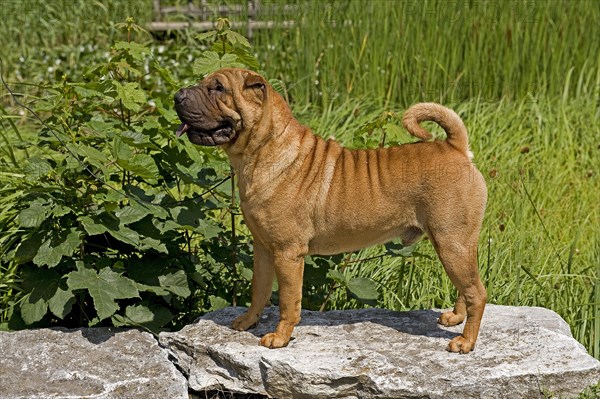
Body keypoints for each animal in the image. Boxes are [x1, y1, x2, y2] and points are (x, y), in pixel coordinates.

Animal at [173, 68, 488, 354]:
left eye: (218, 88)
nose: (178, 95)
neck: (261, 152)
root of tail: (455, 147)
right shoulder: (263, 248)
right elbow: (258, 290)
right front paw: (248, 321)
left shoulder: (288, 253)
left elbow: (288, 301)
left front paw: (280, 338)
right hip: (457, 245)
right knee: (467, 287)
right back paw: (455, 318)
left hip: (451, 242)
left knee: (477, 292)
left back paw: (465, 342)